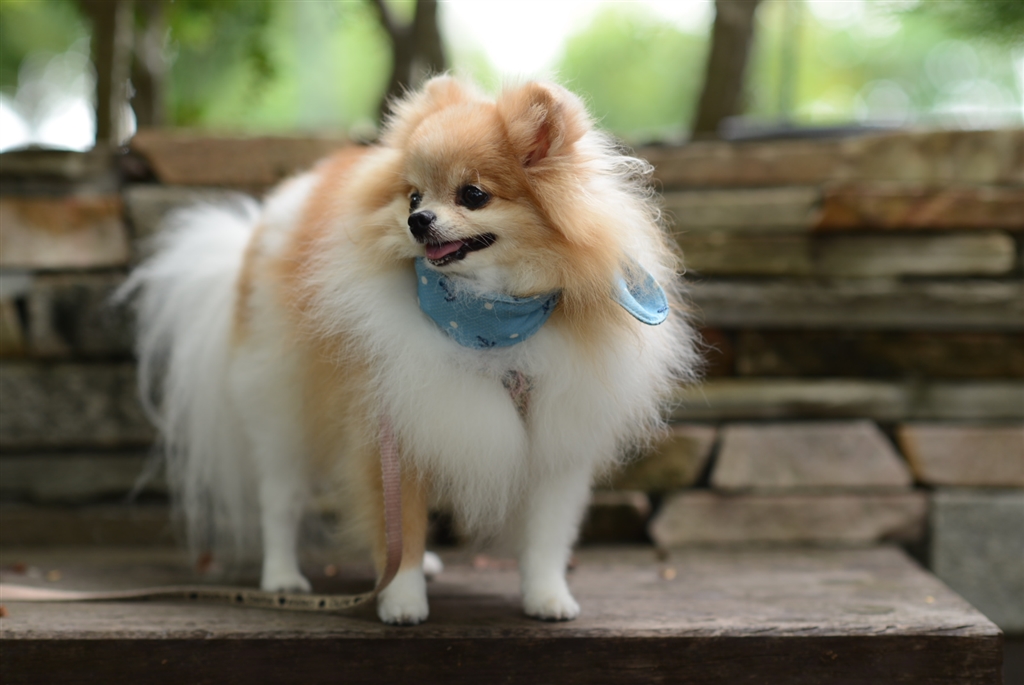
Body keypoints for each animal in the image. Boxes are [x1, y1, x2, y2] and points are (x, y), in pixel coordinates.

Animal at [123, 77, 698, 624]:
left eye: (473, 194)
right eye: (414, 197)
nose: (416, 221)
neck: (490, 318)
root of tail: (257, 230)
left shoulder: (552, 437)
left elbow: (545, 537)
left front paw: (547, 598)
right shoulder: (390, 428)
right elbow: (396, 522)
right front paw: (401, 601)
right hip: (282, 407)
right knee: (279, 500)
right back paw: (283, 578)